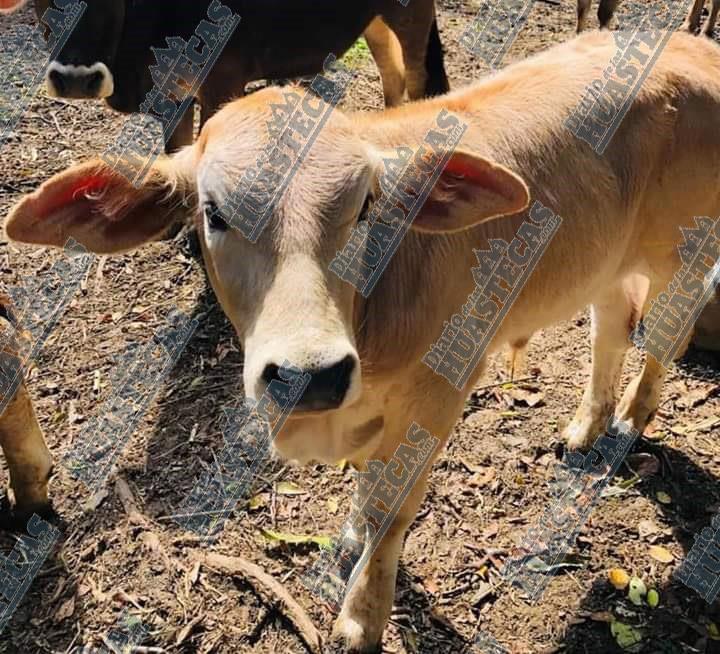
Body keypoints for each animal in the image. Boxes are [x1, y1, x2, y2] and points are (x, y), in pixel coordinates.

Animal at [5, 30, 720, 654]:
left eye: (367, 207)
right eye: (213, 214)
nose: (309, 374)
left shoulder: (439, 397)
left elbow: (391, 511)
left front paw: (361, 617)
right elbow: (366, 493)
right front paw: (349, 533)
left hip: (685, 257)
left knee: (666, 335)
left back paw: (627, 420)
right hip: (607, 262)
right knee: (611, 325)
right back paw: (585, 427)